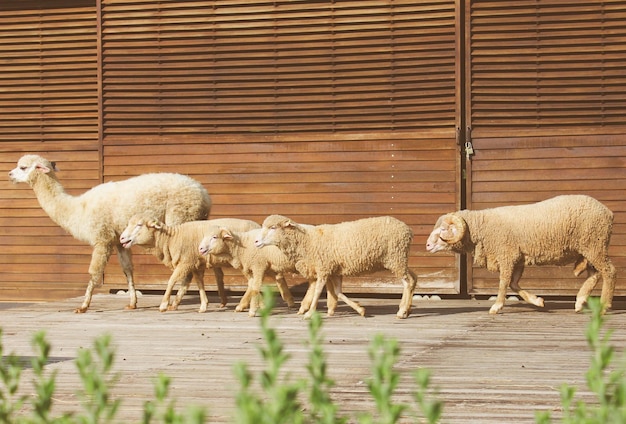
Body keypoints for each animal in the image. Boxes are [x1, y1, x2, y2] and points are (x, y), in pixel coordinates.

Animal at [8, 154, 211, 314]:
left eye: (23, 167)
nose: (10, 174)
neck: (79, 209)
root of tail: (204, 194)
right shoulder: (119, 240)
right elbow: (127, 269)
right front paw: (132, 303)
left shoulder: (101, 238)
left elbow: (94, 272)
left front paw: (83, 306)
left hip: (180, 217)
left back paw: (174, 303)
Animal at [119, 215, 258, 312]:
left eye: (139, 225)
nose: (121, 238)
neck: (171, 239)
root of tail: (257, 225)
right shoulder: (195, 263)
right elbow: (198, 283)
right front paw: (203, 305)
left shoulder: (185, 262)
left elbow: (172, 281)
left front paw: (164, 304)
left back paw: (243, 305)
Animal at [251, 215, 416, 318]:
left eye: (273, 227)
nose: (256, 242)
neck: (307, 241)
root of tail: (408, 230)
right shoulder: (333, 270)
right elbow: (338, 292)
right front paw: (360, 309)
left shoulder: (323, 268)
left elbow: (318, 291)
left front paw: (309, 313)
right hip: (399, 259)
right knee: (413, 278)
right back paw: (406, 309)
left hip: (396, 257)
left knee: (407, 282)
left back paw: (402, 311)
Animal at [424, 195, 616, 314]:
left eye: (443, 229)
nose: (427, 245)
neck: (482, 228)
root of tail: (608, 212)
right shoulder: (517, 258)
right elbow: (514, 284)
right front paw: (537, 301)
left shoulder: (506, 255)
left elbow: (503, 283)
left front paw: (496, 306)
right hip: (591, 247)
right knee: (595, 274)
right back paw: (580, 301)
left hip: (594, 244)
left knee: (609, 272)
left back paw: (604, 306)